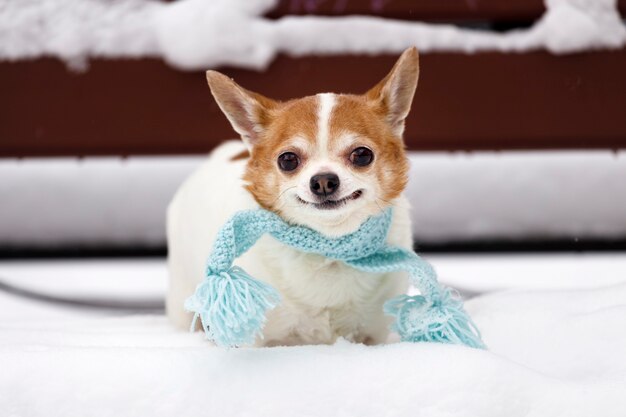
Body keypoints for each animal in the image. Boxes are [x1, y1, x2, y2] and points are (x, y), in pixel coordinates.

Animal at [168, 47, 416, 346]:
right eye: (288, 160)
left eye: (362, 155)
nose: (323, 181)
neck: (328, 247)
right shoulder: (255, 340)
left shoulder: (373, 336)